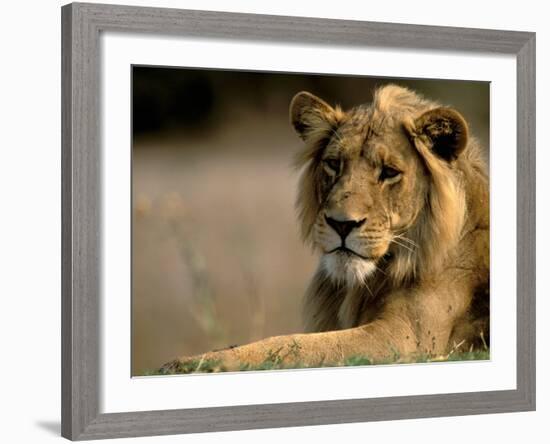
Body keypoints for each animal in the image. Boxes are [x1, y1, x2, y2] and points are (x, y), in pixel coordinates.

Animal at [161, 84, 492, 374]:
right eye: (334, 164)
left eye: (389, 172)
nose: (342, 224)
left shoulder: (408, 338)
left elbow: (292, 346)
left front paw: (191, 363)